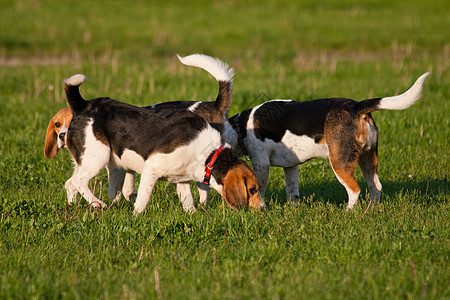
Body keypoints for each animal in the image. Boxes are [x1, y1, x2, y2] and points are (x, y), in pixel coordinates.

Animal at [62, 54, 264, 216]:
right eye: (252, 190)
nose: (264, 209)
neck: (207, 154)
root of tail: (83, 105)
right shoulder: (152, 168)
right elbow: (142, 199)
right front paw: (136, 217)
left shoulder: (181, 179)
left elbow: (188, 202)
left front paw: (194, 216)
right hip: (98, 157)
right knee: (79, 181)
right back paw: (98, 203)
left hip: (86, 160)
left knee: (70, 184)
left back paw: (73, 208)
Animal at [225, 72, 428, 209]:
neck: (242, 125)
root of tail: (356, 106)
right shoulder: (290, 166)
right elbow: (292, 191)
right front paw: (293, 209)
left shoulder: (261, 164)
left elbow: (260, 188)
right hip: (367, 158)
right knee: (376, 187)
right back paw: (371, 211)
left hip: (339, 162)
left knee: (355, 190)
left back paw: (348, 212)